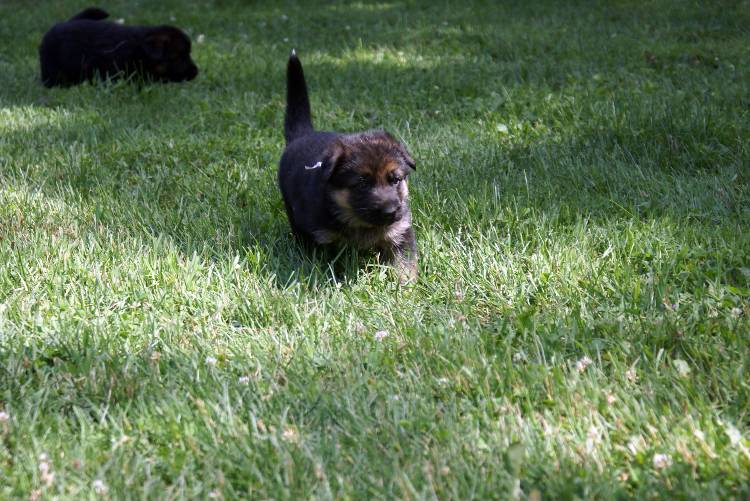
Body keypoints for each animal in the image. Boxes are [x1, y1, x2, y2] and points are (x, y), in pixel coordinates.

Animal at [278, 51, 420, 282]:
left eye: (396, 180)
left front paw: (407, 285)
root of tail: (303, 134)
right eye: (361, 184)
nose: (390, 211)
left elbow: (404, 263)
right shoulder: (317, 236)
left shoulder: (401, 231)